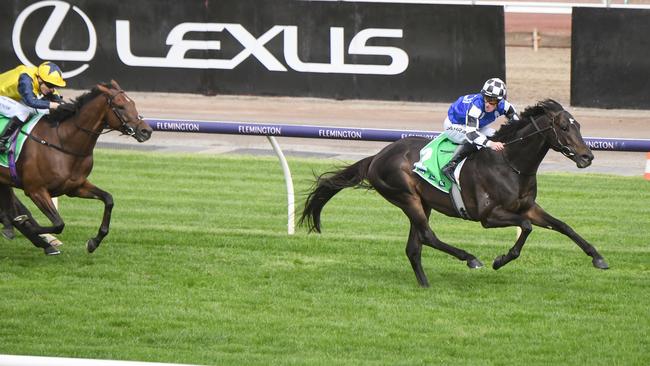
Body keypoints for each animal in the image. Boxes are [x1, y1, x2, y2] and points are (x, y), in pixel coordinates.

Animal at [0, 81, 153, 254]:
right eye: (120, 106)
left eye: (132, 103)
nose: (146, 131)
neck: (63, 143)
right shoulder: (35, 190)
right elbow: (58, 224)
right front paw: (25, 225)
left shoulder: (75, 187)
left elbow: (108, 199)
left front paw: (94, 242)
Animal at [298, 98, 608, 288]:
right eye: (564, 127)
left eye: (579, 125)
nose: (587, 156)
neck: (510, 163)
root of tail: (376, 156)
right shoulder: (488, 216)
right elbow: (526, 227)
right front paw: (500, 260)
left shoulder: (528, 206)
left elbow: (563, 226)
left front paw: (597, 257)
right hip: (406, 197)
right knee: (427, 236)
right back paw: (470, 258)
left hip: (422, 202)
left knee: (414, 247)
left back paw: (425, 284)